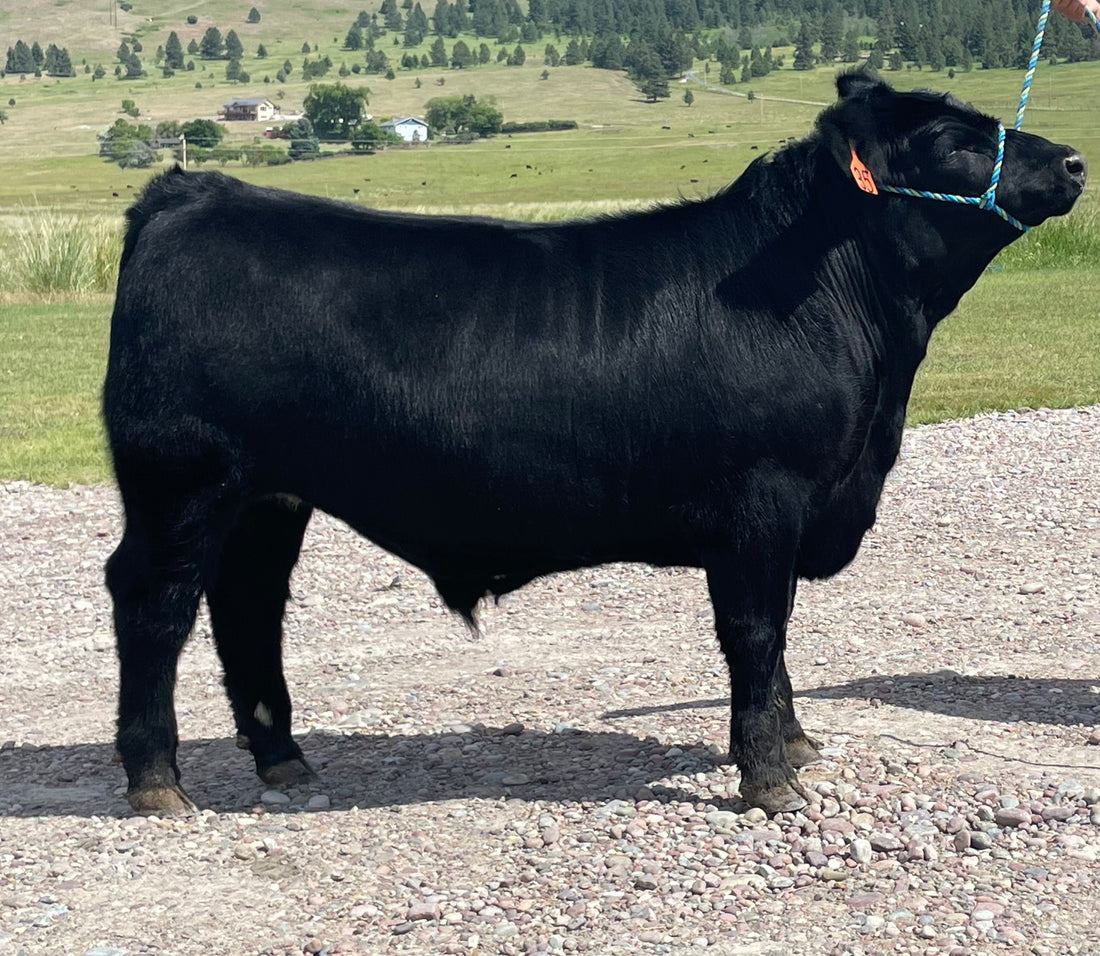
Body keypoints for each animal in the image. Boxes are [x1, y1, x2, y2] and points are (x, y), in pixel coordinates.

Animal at [103, 68, 1085, 816]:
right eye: (953, 139)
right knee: (155, 604)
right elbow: (757, 633)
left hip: (269, 497)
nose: (1075, 159)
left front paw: (796, 745)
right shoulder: (763, 504)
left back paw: (285, 762)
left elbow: (778, 640)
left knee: (248, 607)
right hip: (183, 480)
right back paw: (158, 785)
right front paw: (768, 778)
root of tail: (195, 192)